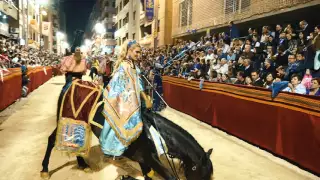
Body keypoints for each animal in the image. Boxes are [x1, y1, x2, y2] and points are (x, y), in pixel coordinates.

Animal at [40, 82, 212, 180]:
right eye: (202, 176)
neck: (153, 134)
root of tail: (69, 85)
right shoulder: (149, 159)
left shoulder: (144, 160)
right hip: (68, 119)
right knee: (52, 140)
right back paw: (45, 170)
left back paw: (83, 164)